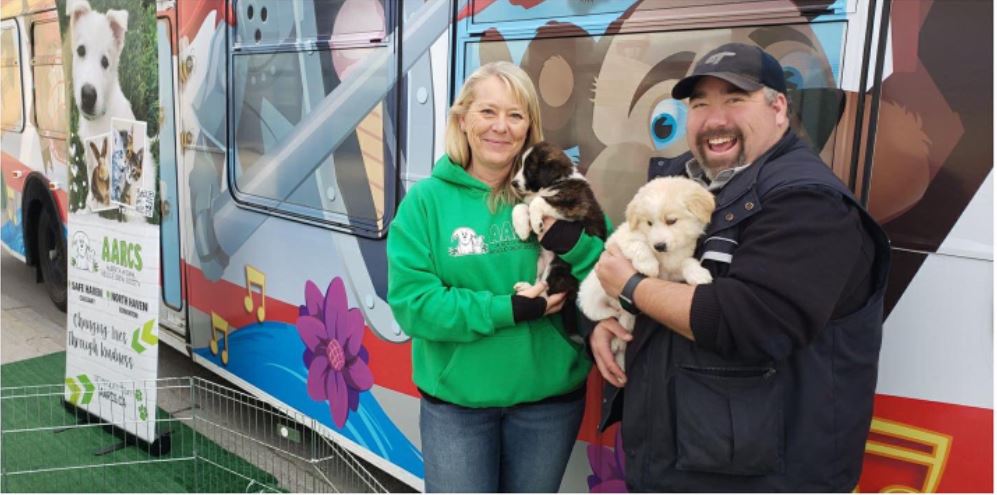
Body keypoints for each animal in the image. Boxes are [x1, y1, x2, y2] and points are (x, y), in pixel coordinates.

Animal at [512, 141, 608, 300]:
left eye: (530, 169)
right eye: (521, 166)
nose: (513, 183)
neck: (555, 182)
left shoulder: (574, 205)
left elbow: (538, 201)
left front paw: (536, 223)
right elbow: (520, 206)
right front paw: (523, 230)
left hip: (558, 266)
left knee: (547, 292)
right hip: (540, 263)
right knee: (540, 282)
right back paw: (525, 287)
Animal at [576, 176, 716, 370]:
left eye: (671, 221)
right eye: (649, 223)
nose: (659, 246)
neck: (664, 256)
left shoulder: (674, 270)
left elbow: (687, 262)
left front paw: (698, 274)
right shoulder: (622, 241)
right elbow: (639, 246)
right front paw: (648, 265)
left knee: (625, 323)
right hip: (590, 299)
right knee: (608, 316)